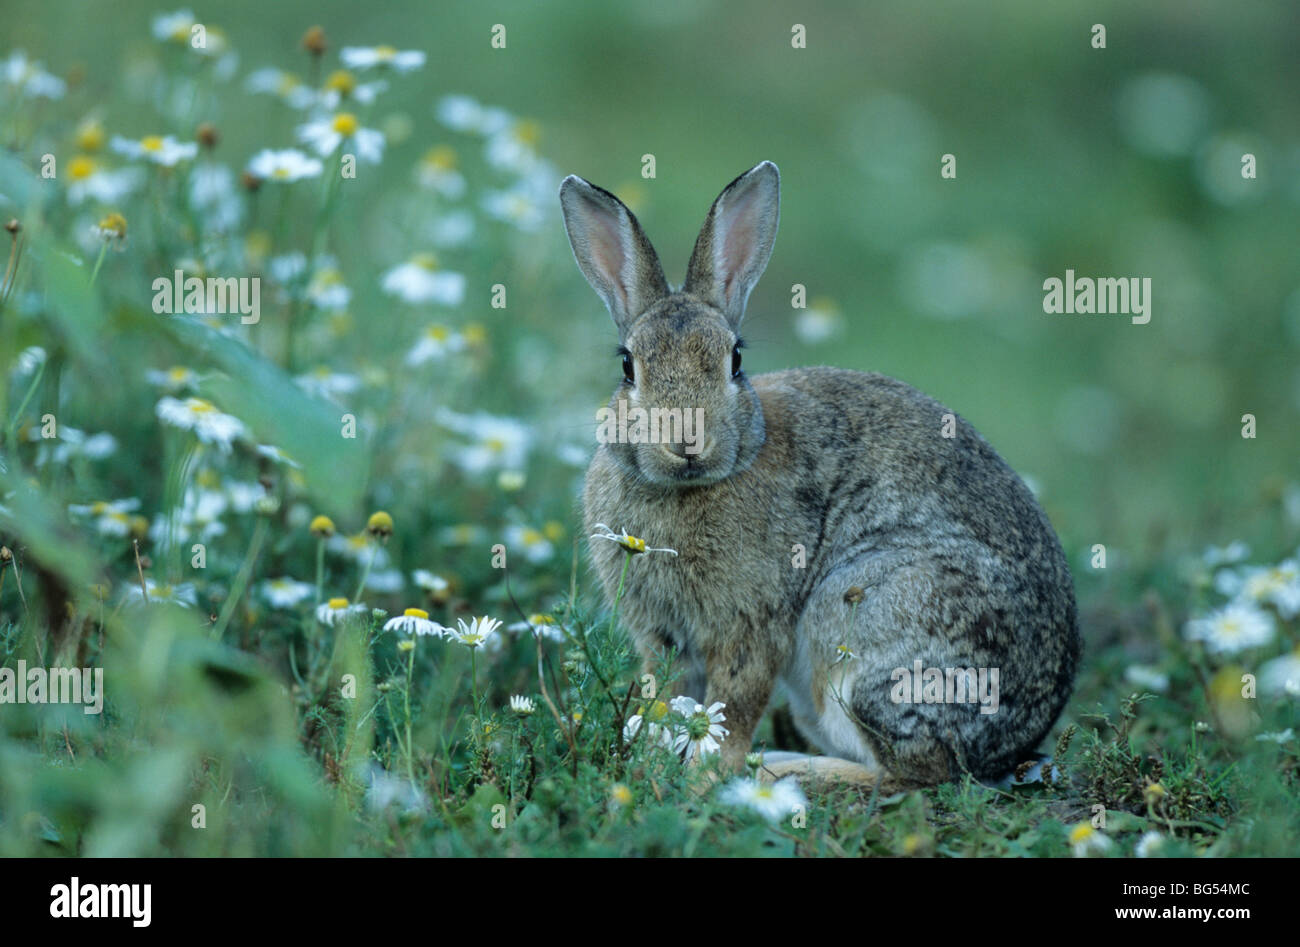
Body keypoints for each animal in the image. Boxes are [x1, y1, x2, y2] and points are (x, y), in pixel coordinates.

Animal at [556, 162, 1076, 790]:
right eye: (628, 366)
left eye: (734, 360)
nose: (687, 441)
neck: (693, 484)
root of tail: (1014, 743)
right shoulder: (661, 637)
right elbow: (668, 700)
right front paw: (653, 763)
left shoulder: (754, 625)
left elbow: (733, 707)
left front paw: (705, 776)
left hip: (866, 621)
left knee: (912, 770)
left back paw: (779, 771)